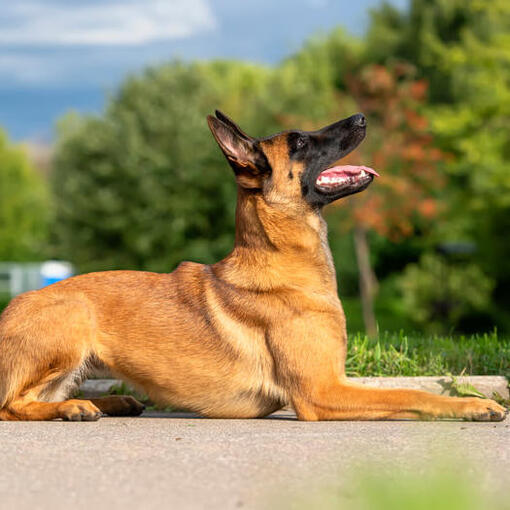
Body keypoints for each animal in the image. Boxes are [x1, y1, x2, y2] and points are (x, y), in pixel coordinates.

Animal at [0, 112, 506, 422]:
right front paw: (473, 405)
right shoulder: (322, 392)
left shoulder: (333, 381)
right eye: (300, 142)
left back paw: (113, 401)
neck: (281, 261)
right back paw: (75, 408)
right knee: (12, 403)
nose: (362, 117)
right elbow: (411, 394)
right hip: (73, 316)